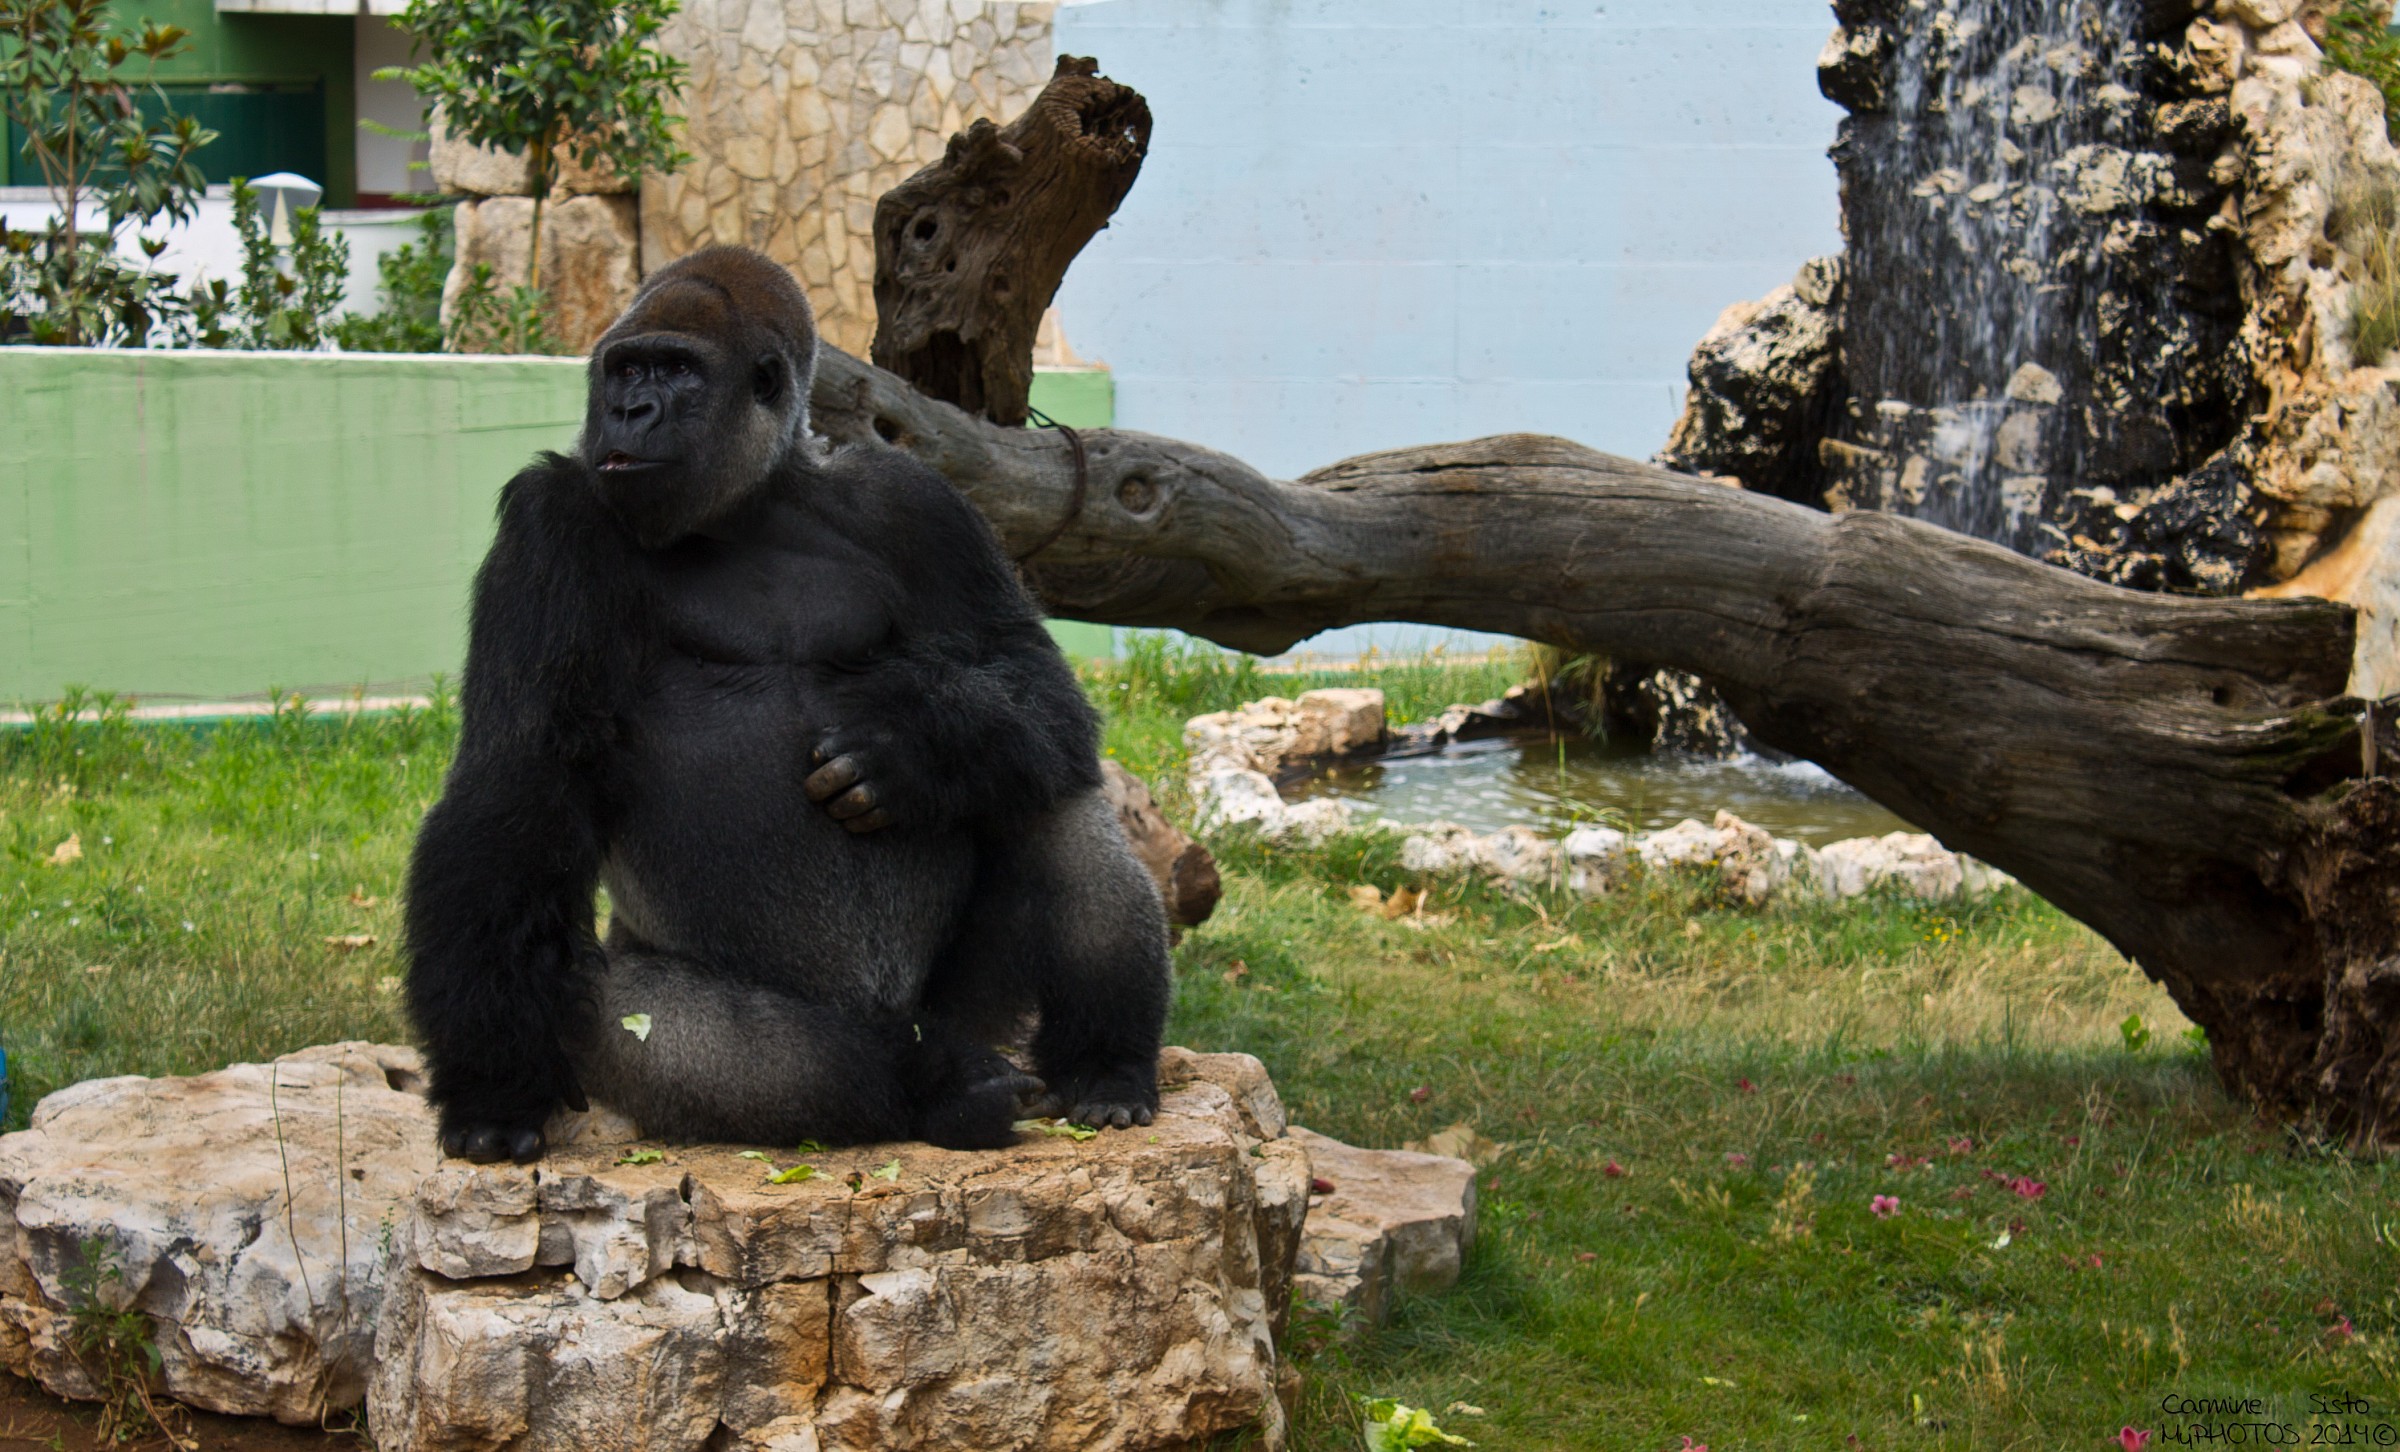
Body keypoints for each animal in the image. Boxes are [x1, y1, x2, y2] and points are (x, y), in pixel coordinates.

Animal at [402, 245, 1170, 1164]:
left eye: (676, 371)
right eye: (624, 369)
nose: (628, 410)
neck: (752, 505)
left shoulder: (911, 498)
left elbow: (1026, 674)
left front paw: (911, 750)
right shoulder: (551, 522)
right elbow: (520, 775)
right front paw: (493, 1091)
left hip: (972, 1007)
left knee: (1047, 783)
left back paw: (1104, 1066)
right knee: (654, 1026)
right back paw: (934, 1088)